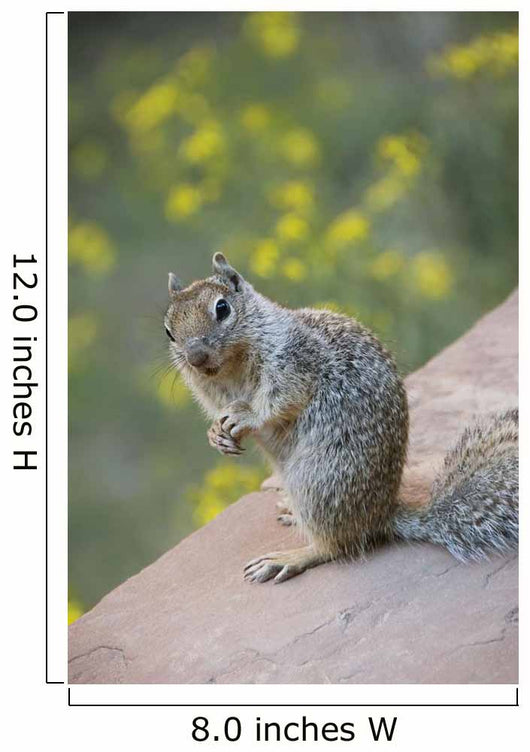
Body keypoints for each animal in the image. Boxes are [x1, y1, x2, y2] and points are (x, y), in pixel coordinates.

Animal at [164, 253, 518, 583]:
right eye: (168, 331)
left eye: (222, 308)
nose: (196, 357)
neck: (231, 369)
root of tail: (380, 516)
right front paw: (216, 434)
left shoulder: (295, 361)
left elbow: (278, 401)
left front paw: (245, 415)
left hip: (315, 481)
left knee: (334, 546)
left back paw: (288, 557)